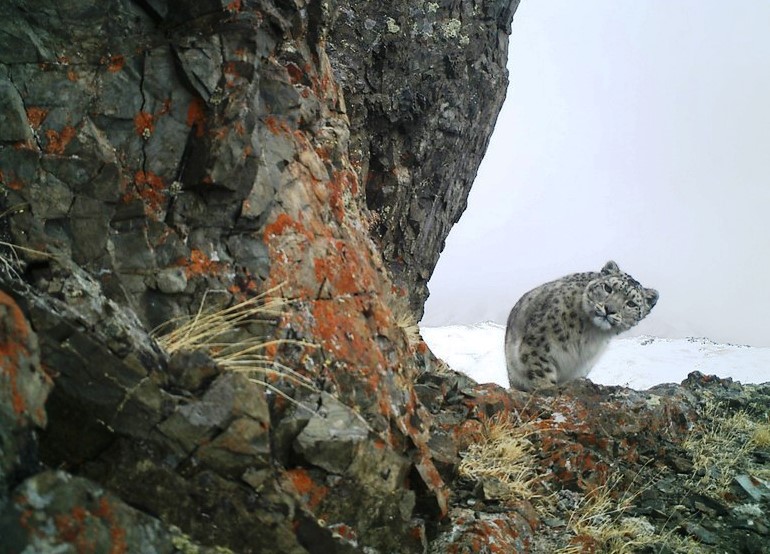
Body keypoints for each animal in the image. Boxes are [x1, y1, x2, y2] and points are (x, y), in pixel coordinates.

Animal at [500, 260, 656, 390]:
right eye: (607, 288)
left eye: (631, 304)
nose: (609, 309)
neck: (591, 333)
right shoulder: (537, 345)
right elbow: (542, 374)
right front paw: (547, 388)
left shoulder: (580, 369)